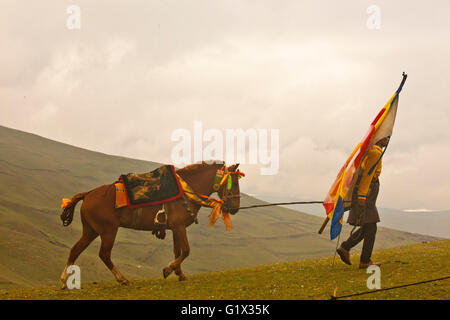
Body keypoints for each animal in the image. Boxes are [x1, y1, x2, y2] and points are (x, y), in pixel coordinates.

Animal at [62, 161, 243, 288]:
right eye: (234, 183)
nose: (235, 208)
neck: (186, 192)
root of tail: (88, 194)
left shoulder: (176, 228)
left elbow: (178, 251)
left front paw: (179, 274)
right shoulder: (179, 227)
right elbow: (185, 251)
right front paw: (168, 270)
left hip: (91, 231)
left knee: (75, 250)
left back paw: (64, 281)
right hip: (108, 230)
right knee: (104, 254)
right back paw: (122, 279)